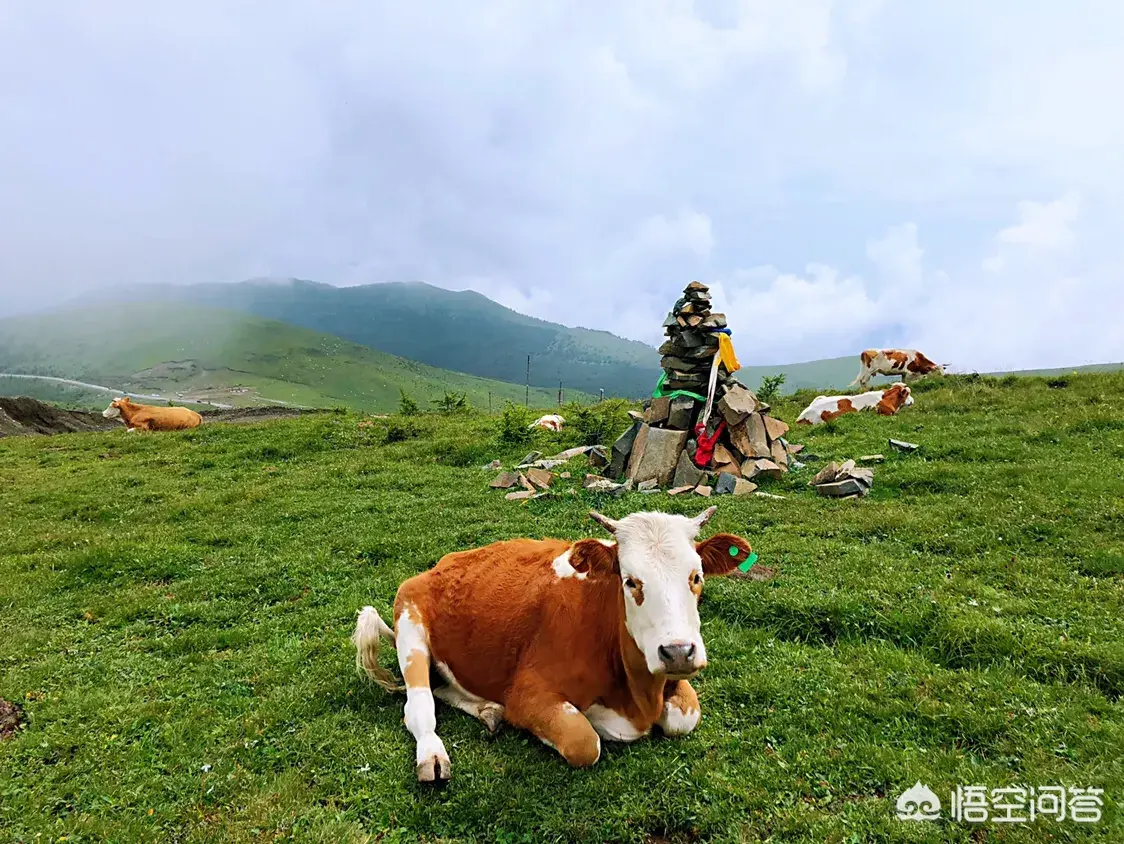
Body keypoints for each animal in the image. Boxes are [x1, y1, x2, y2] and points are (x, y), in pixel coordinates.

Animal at [350, 505, 755, 782]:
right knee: (419, 705)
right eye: (630, 580)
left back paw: (489, 711)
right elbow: (584, 741)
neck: (639, 695)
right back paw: (432, 755)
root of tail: (439, 564)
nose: (677, 652)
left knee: (442, 687)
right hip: (410, 622)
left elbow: (686, 717)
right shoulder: (528, 693)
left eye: (696, 576)